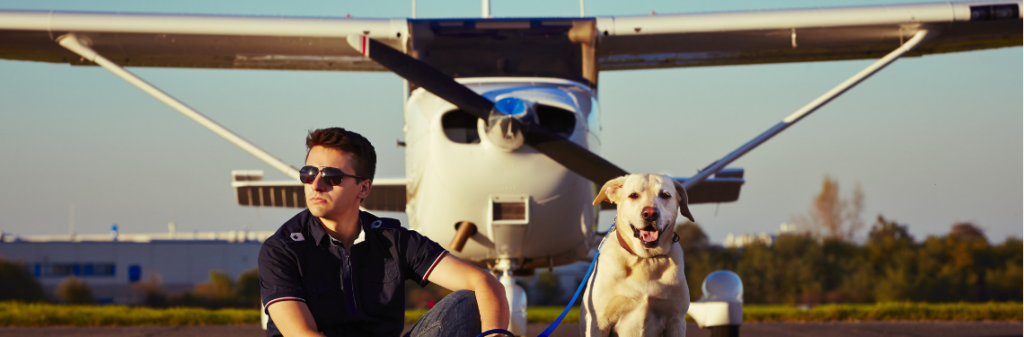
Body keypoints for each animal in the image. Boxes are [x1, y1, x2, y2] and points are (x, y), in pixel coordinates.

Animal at [581, 173, 692, 335]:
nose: (650, 213)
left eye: (665, 195)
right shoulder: (599, 322)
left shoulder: (676, 320)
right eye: (633, 195)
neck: (645, 259)